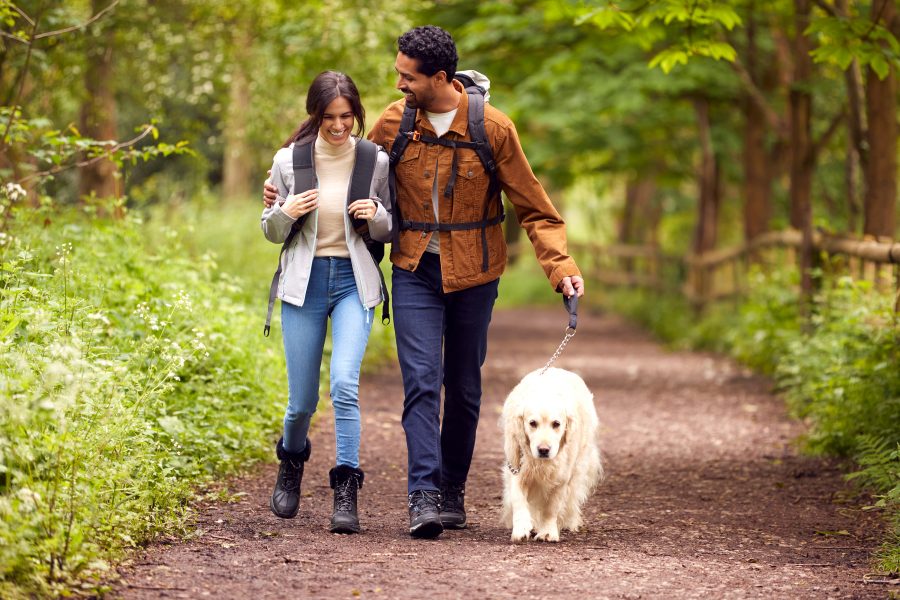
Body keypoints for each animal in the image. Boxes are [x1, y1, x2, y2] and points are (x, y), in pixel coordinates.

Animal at [502, 368, 600, 540]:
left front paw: (547, 531)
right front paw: (521, 528)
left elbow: (551, 508)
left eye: (556, 424)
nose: (543, 450)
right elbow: (518, 500)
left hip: (578, 468)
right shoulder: (516, 468)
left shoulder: (562, 477)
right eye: (532, 423)